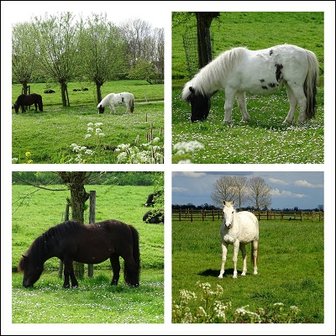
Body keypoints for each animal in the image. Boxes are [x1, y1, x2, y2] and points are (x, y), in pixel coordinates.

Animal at [182, 44, 318, 124]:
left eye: (194, 101)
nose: (193, 119)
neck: (227, 67)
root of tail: (305, 52)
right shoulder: (239, 90)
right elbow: (242, 105)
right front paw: (245, 119)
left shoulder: (230, 89)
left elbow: (228, 106)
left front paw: (226, 121)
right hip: (289, 85)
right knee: (293, 102)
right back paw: (287, 121)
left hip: (295, 85)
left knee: (302, 101)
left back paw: (300, 121)